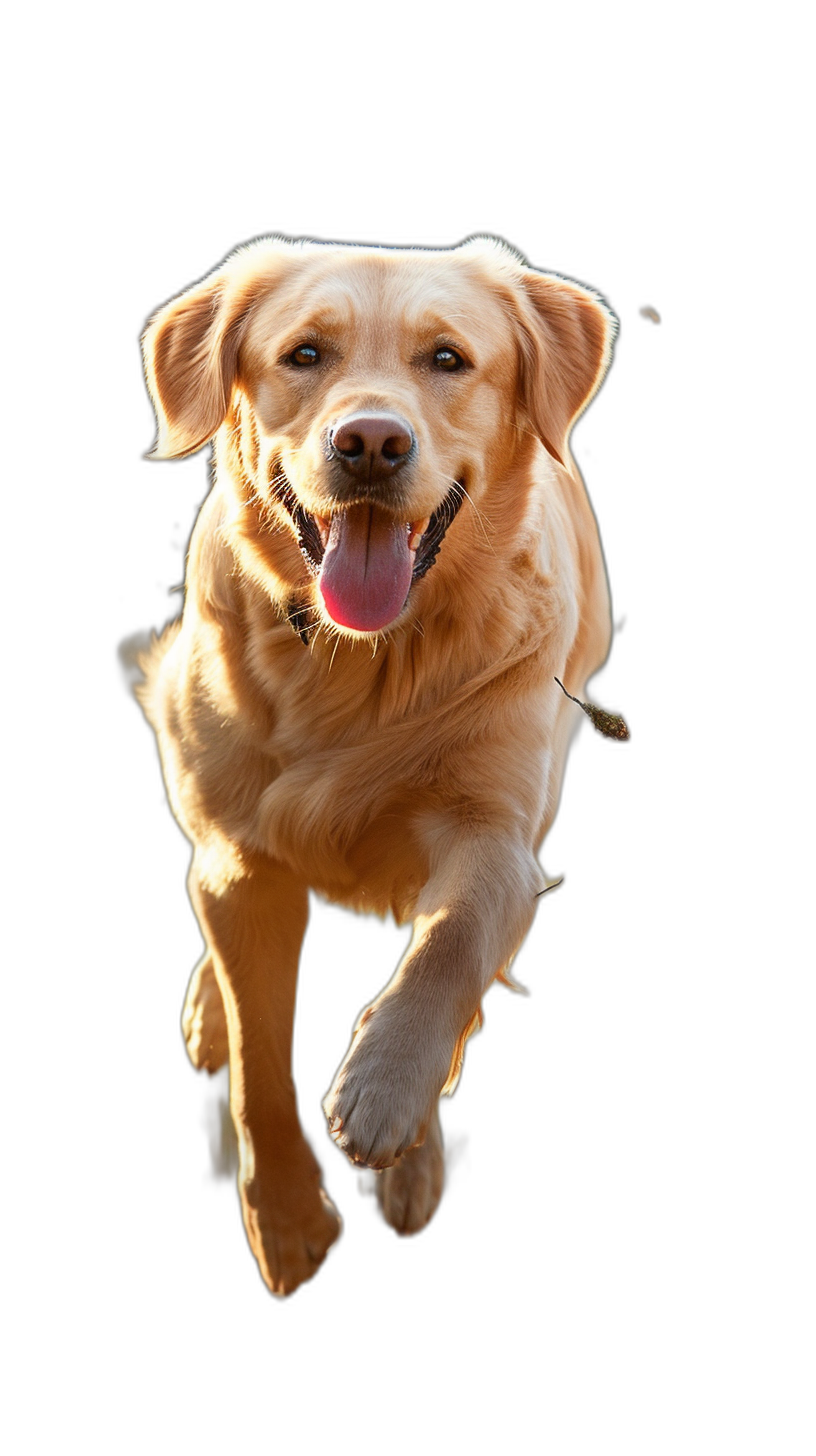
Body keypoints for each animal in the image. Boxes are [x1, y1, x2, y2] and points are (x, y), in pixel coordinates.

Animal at [130, 235, 617, 1298]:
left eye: (448, 360)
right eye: (305, 355)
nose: (370, 443)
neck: (364, 660)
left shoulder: (501, 840)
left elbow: (453, 947)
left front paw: (387, 1091)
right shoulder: (242, 860)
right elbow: (260, 1068)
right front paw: (284, 1222)